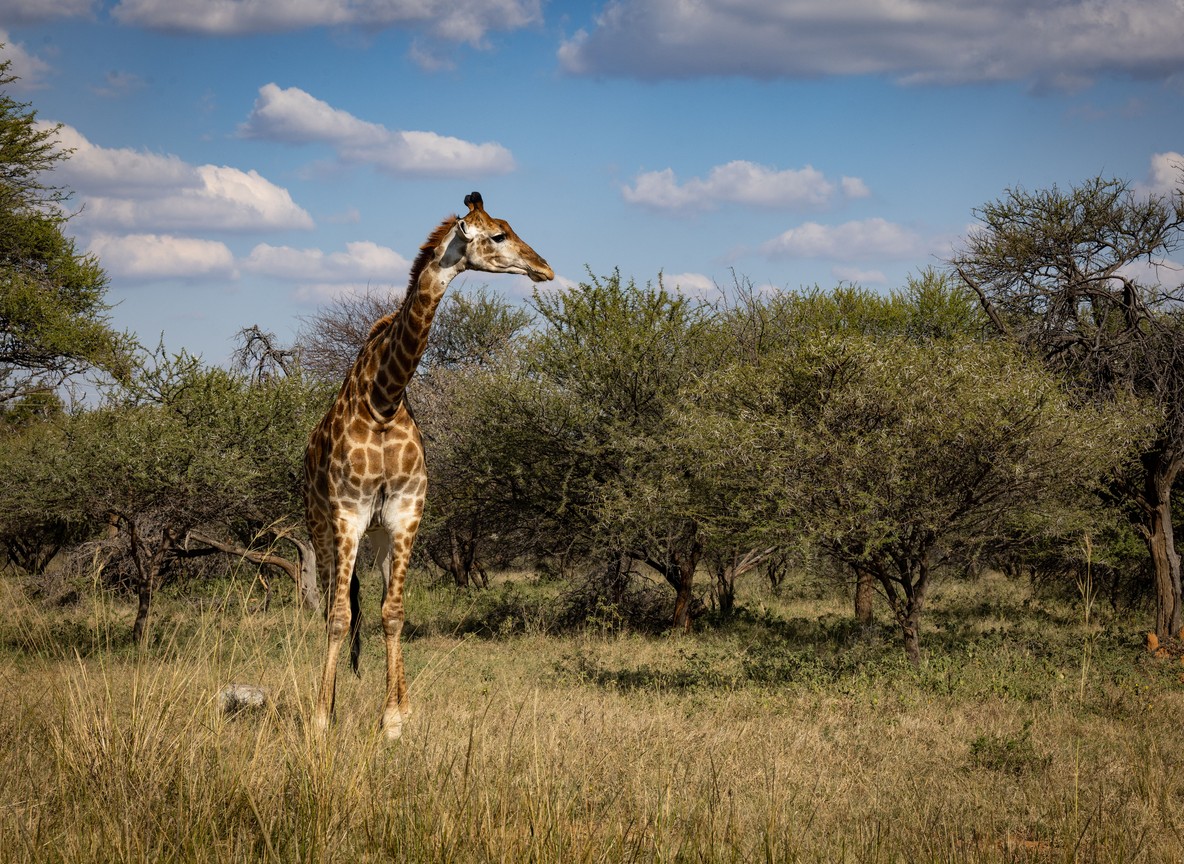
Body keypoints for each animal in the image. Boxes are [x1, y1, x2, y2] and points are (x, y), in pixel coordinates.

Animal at [304, 191, 553, 738]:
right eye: (498, 235)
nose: (544, 267)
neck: (382, 400)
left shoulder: (405, 512)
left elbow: (393, 613)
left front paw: (395, 719)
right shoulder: (348, 513)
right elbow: (338, 616)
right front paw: (321, 719)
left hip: (377, 537)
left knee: (375, 603)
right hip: (320, 526)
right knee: (331, 604)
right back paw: (325, 705)